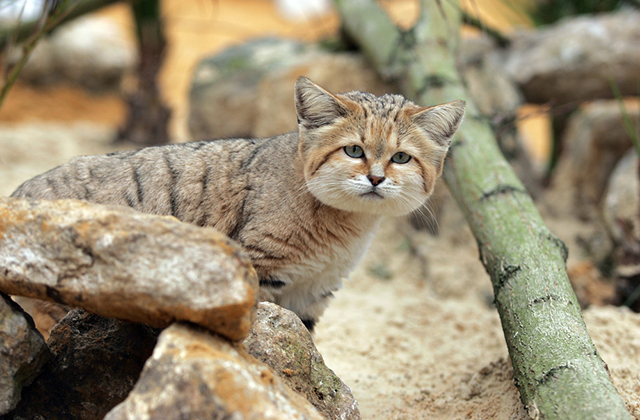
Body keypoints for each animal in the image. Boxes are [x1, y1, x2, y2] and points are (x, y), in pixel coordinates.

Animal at [11, 76, 464, 332]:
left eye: (401, 158)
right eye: (354, 150)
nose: (376, 178)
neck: (344, 231)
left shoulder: (311, 295)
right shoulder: (259, 273)